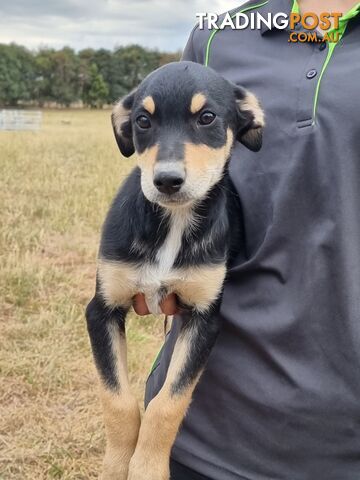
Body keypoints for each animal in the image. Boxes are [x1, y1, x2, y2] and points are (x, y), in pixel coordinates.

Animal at [85, 61, 262, 480]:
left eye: (207, 117)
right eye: (142, 121)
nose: (166, 181)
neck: (174, 222)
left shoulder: (204, 319)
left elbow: (168, 404)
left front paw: (147, 467)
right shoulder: (101, 310)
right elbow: (117, 399)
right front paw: (118, 464)